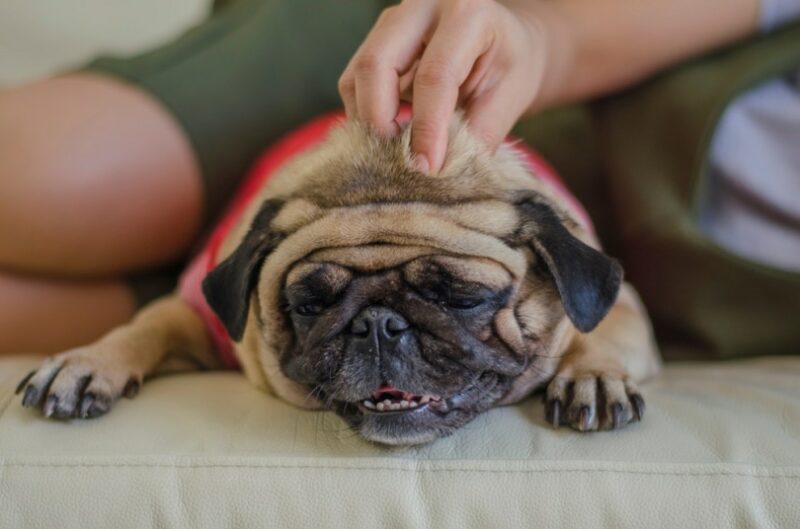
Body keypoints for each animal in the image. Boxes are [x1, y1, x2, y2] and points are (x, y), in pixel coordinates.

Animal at [15, 112, 660, 446]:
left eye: (462, 298)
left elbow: (603, 333)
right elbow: (147, 323)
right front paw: (88, 362)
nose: (378, 324)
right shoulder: (194, 315)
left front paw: (593, 376)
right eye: (309, 305)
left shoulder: (622, 300)